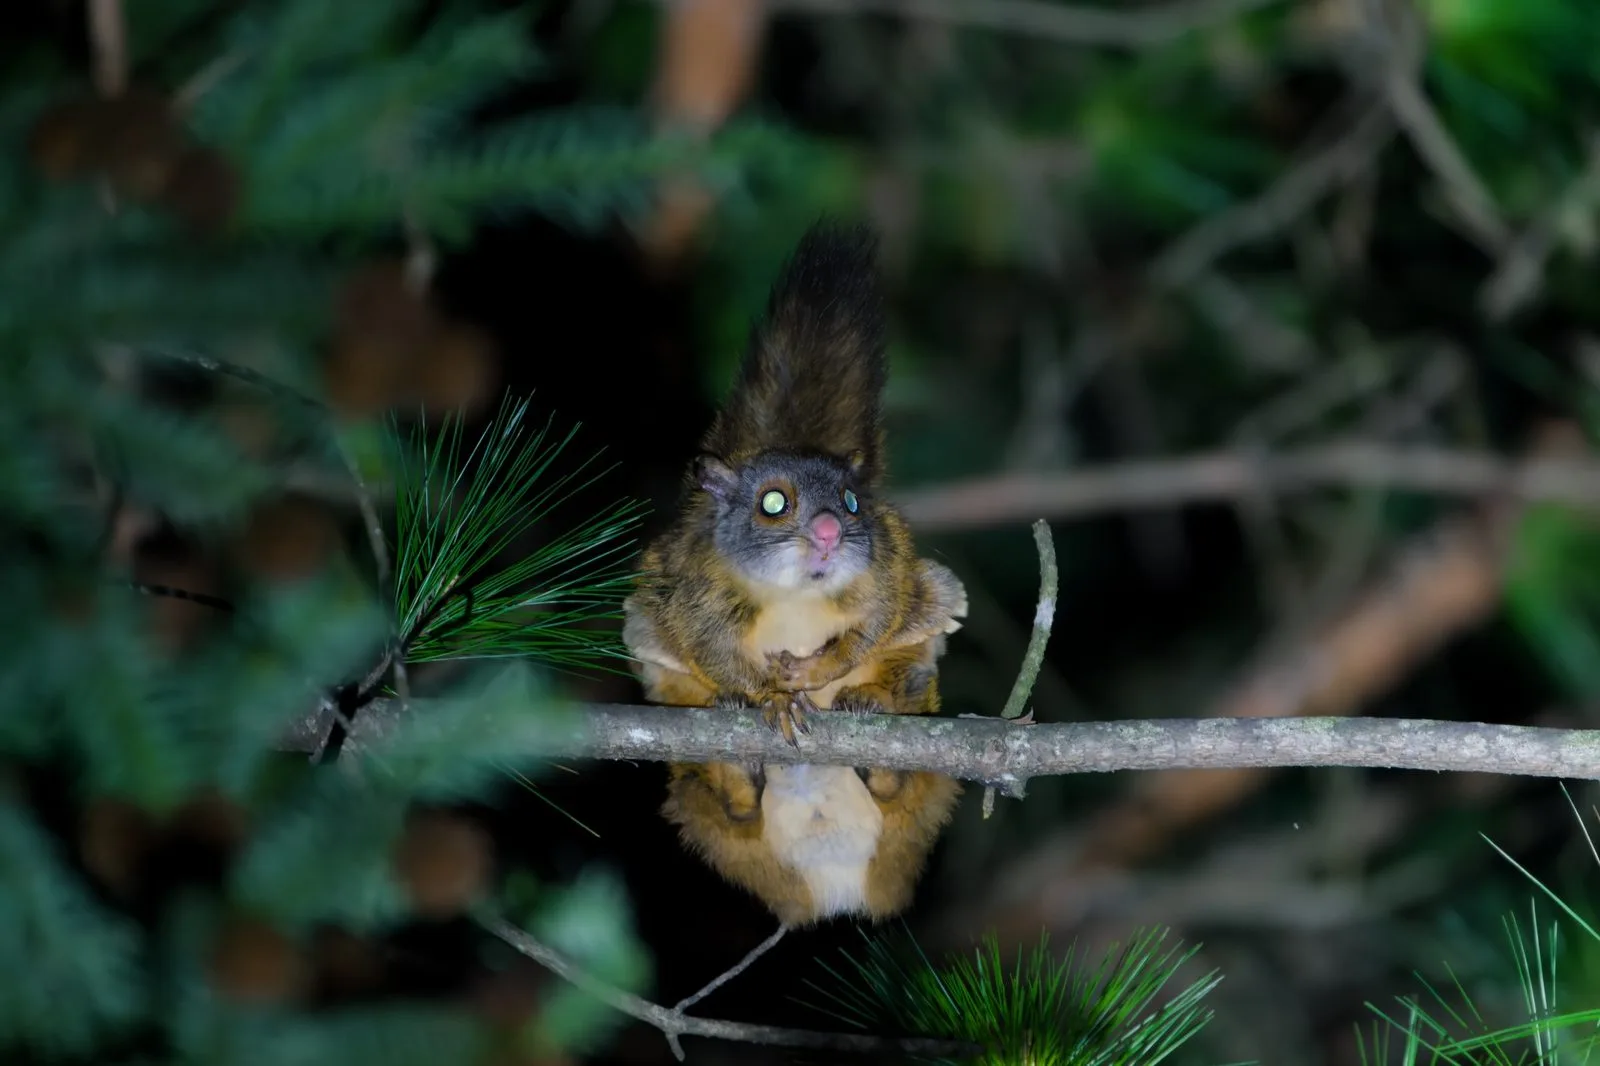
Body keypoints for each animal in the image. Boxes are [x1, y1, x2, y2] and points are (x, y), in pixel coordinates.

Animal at [621, 221, 967, 927]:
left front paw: (813, 675)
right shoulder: (690, 583)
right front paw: (769, 697)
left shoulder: (888, 562)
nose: (832, 531)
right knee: (730, 808)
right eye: (774, 503)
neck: (792, 597)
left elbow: (885, 614)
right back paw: (737, 770)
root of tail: (836, 886)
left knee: (908, 741)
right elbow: (699, 639)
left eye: (852, 503)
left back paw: (875, 724)